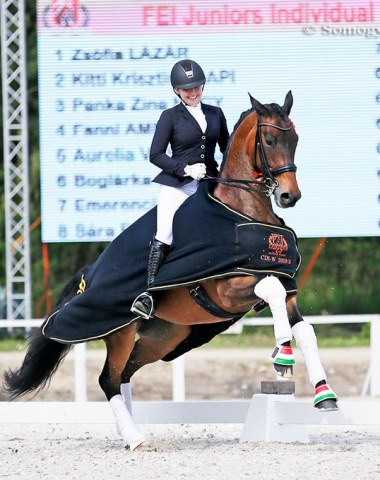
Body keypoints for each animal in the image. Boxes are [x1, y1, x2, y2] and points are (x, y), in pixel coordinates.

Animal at [3, 90, 338, 450]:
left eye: (296, 140)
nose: (290, 196)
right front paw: (282, 355)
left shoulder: (287, 290)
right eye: (270, 139)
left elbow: (305, 329)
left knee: (124, 374)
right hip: (118, 329)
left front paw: (325, 395)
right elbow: (270, 290)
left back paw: (128, 432)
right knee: (108, 379)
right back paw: (135, 438)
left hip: (164, 337)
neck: (241, 210)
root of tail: (91, 274)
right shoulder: (229, 290)